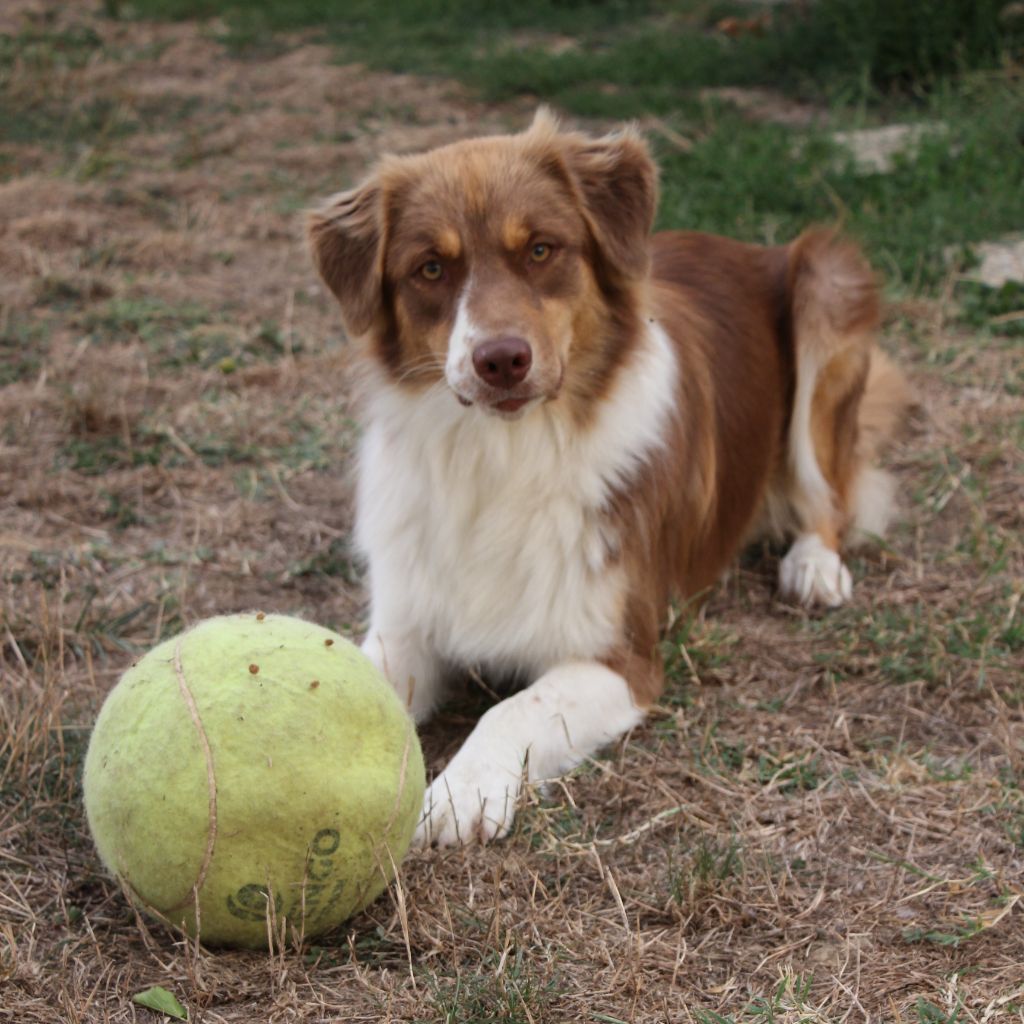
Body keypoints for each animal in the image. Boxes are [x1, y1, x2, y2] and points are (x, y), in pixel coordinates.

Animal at [307, 110, 909, 847]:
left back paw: (813, 565)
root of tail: (745, 246)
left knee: (828, 493)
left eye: (541, 250)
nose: (500, 360)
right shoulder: (405, 625)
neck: (503, 459)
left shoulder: (623, 657)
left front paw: (461, 790)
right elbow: (342, 674)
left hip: (826, 284)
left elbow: (514, 707)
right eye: (431, 268)